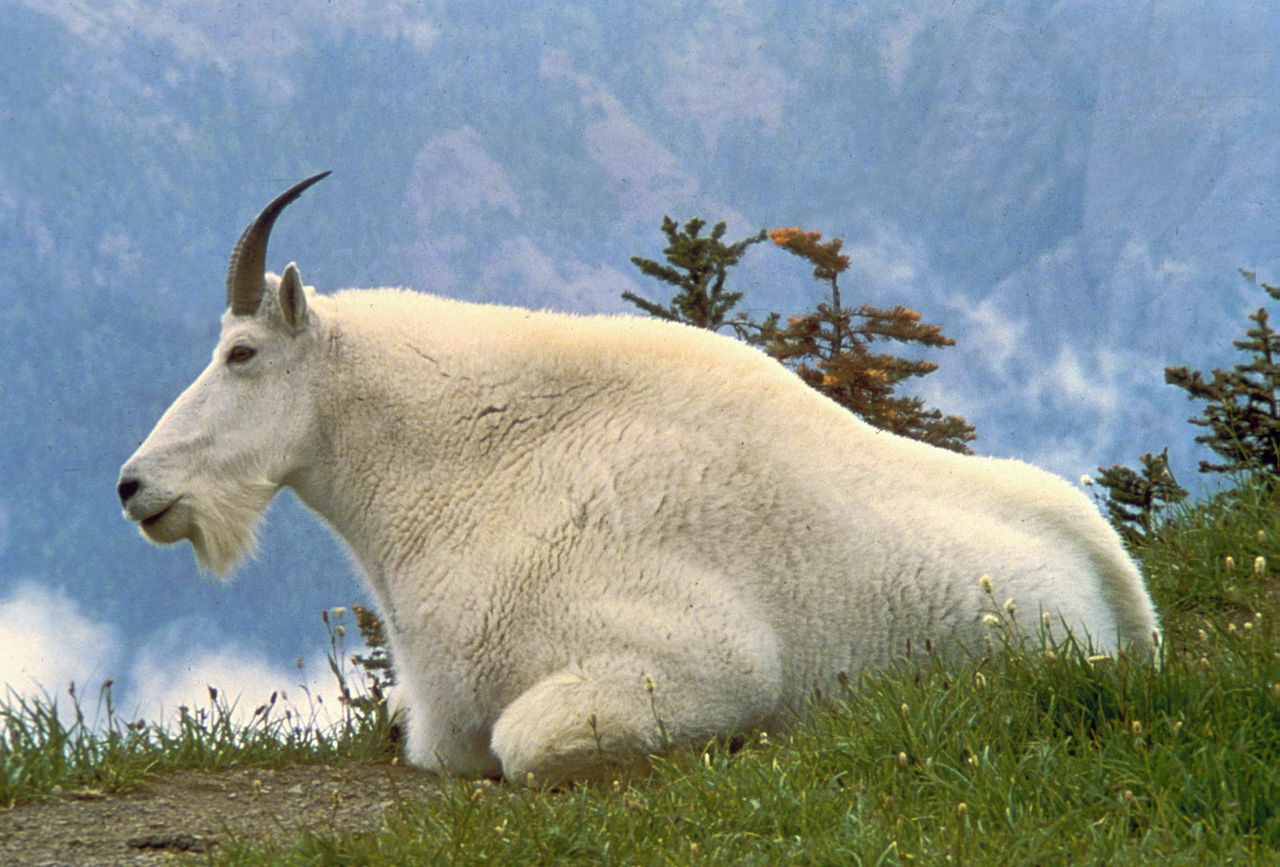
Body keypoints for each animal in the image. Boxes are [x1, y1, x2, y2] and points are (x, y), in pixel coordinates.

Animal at [120, 172, 1162, 778]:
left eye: (243, 353)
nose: (135, 485)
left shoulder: (699, 658)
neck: (472, 466)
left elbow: (521, 745)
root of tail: (1119, 582)